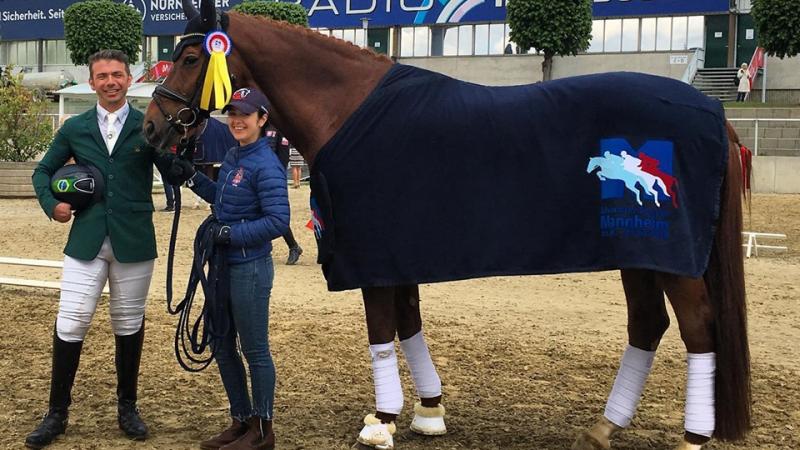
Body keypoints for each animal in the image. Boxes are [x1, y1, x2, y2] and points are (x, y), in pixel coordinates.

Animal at [142, 1, 752, 448]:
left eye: (191, 56)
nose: (151, 130)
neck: (348, 109)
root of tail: (712, 112)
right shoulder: (399, 255)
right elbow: (410, 323)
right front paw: (429, 412)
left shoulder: (373, 257)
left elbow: (382, 330)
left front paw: (382, 421)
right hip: (639, 258)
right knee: (647, 325)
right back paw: (604, 427)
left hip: (672, 262)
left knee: (699, 330)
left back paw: (693, 437)